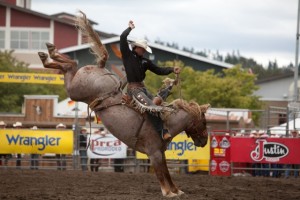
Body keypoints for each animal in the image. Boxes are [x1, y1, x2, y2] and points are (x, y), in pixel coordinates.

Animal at [37, 11, 210, 198]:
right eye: (204, 122)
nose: (204, 141)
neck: (167, 122)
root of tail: (101, 67)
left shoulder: (160, 153)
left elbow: (167, 173)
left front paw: (176, 190)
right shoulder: (154, 153)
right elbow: (161, 173)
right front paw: (168, 192)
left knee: (69, 67)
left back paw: (48, 55)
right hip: (75, 91)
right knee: (72, 65)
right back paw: (49, 53)